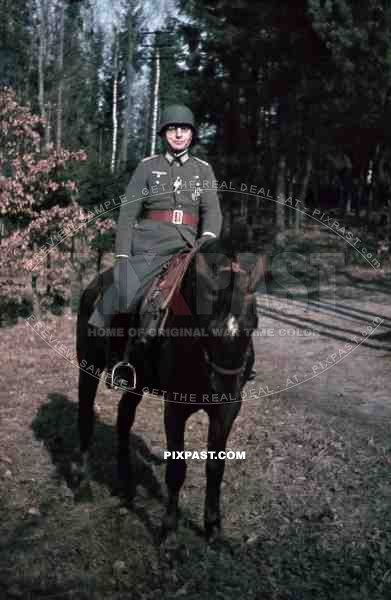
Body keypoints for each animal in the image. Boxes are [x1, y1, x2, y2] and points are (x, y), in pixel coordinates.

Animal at [74, 236, 264, 544]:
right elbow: (177, 468)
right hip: (87, 367)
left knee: (124, 419)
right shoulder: (175, 408)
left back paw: (125, 485)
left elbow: (216, 466)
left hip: (136, 383)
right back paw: (82, 483)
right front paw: (169, 529)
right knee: (85, 418)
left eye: (253, 325)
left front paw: (213, 525)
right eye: (209, 328)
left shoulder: (227, 410)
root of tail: (95, 284)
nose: (224, 389)